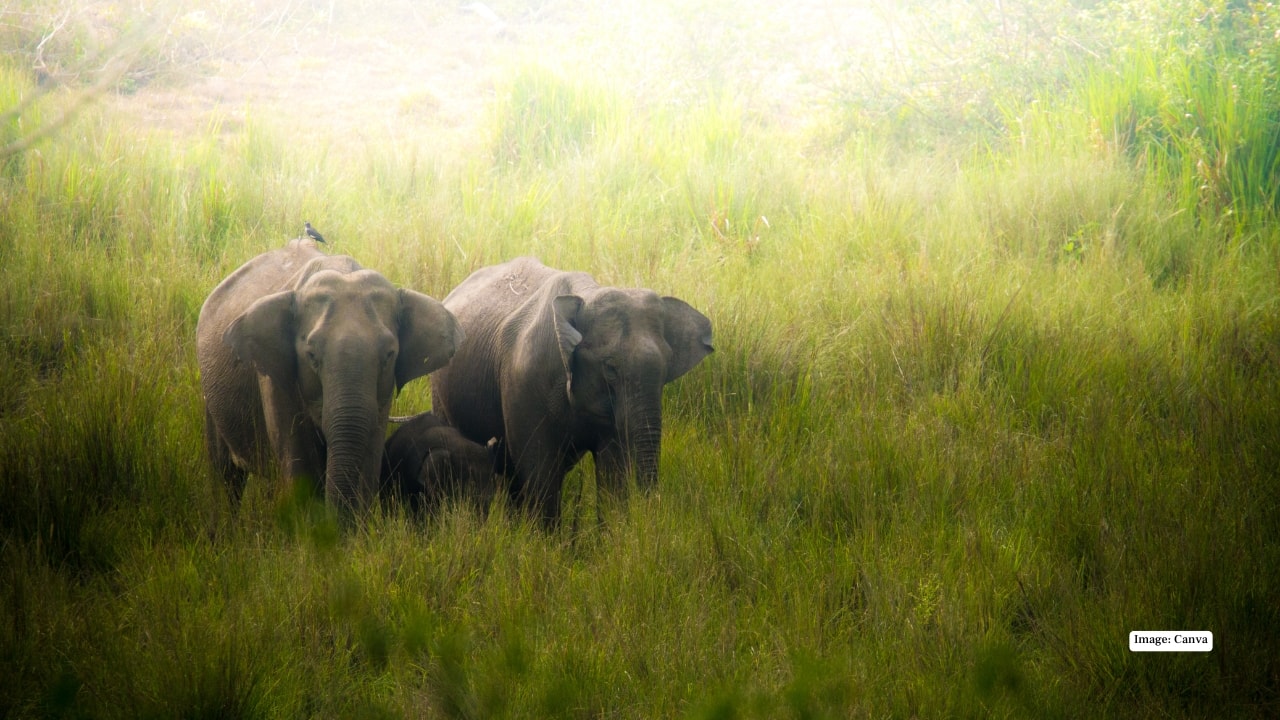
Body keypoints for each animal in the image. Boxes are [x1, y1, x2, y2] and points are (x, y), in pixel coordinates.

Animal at [196, 238, 463, 512]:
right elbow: (299, 466)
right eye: (312, 356)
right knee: (225, 477)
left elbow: (369, 460)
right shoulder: (275, 377)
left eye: (389, 355)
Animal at [430, 256, 713, 524]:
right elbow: (540, 470)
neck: (585, 296)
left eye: (667, 366)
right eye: (610, 367)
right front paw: (545, 540)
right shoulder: (523, 381)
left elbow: (612, 470)